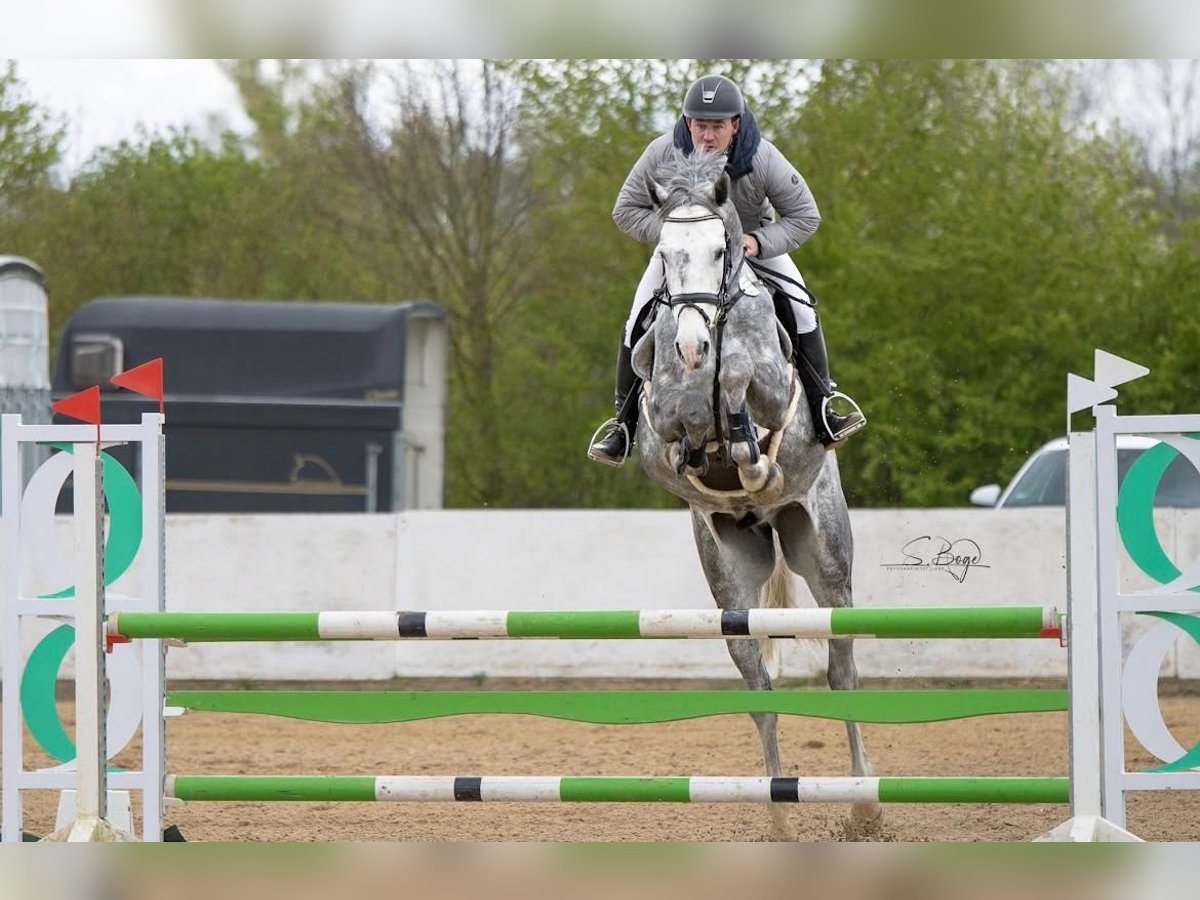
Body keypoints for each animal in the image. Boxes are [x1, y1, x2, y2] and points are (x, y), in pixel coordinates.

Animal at [633, 151, 878, 844]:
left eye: (722, 250)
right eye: (664, 252)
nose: (692, 346)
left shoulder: (770, 385)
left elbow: (742, 377)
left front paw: (745, 444)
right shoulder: (658, 412)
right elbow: (681, 414)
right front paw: (707, 443)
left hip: (824, 556)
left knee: (842, 672)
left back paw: (863, 806)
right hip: (730, 578)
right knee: (759, 686)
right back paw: (779, 815)